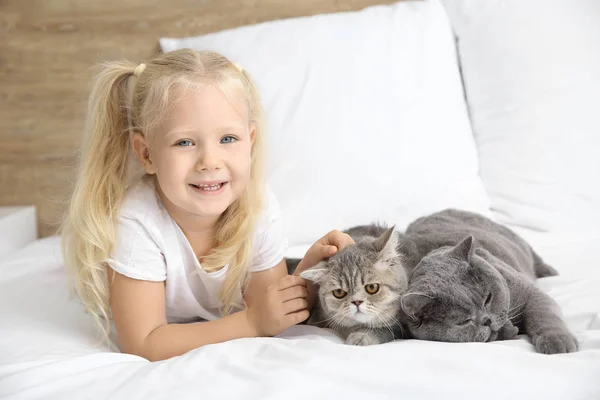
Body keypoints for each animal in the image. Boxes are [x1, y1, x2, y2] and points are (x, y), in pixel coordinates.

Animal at [398, 209, 576, 354]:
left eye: (488, 298)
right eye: (464, 321)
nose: (486, 320)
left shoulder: (531, 293)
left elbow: (543, 315)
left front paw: (557, 342)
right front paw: (508, 330)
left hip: (516, 241)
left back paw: (549, 271)